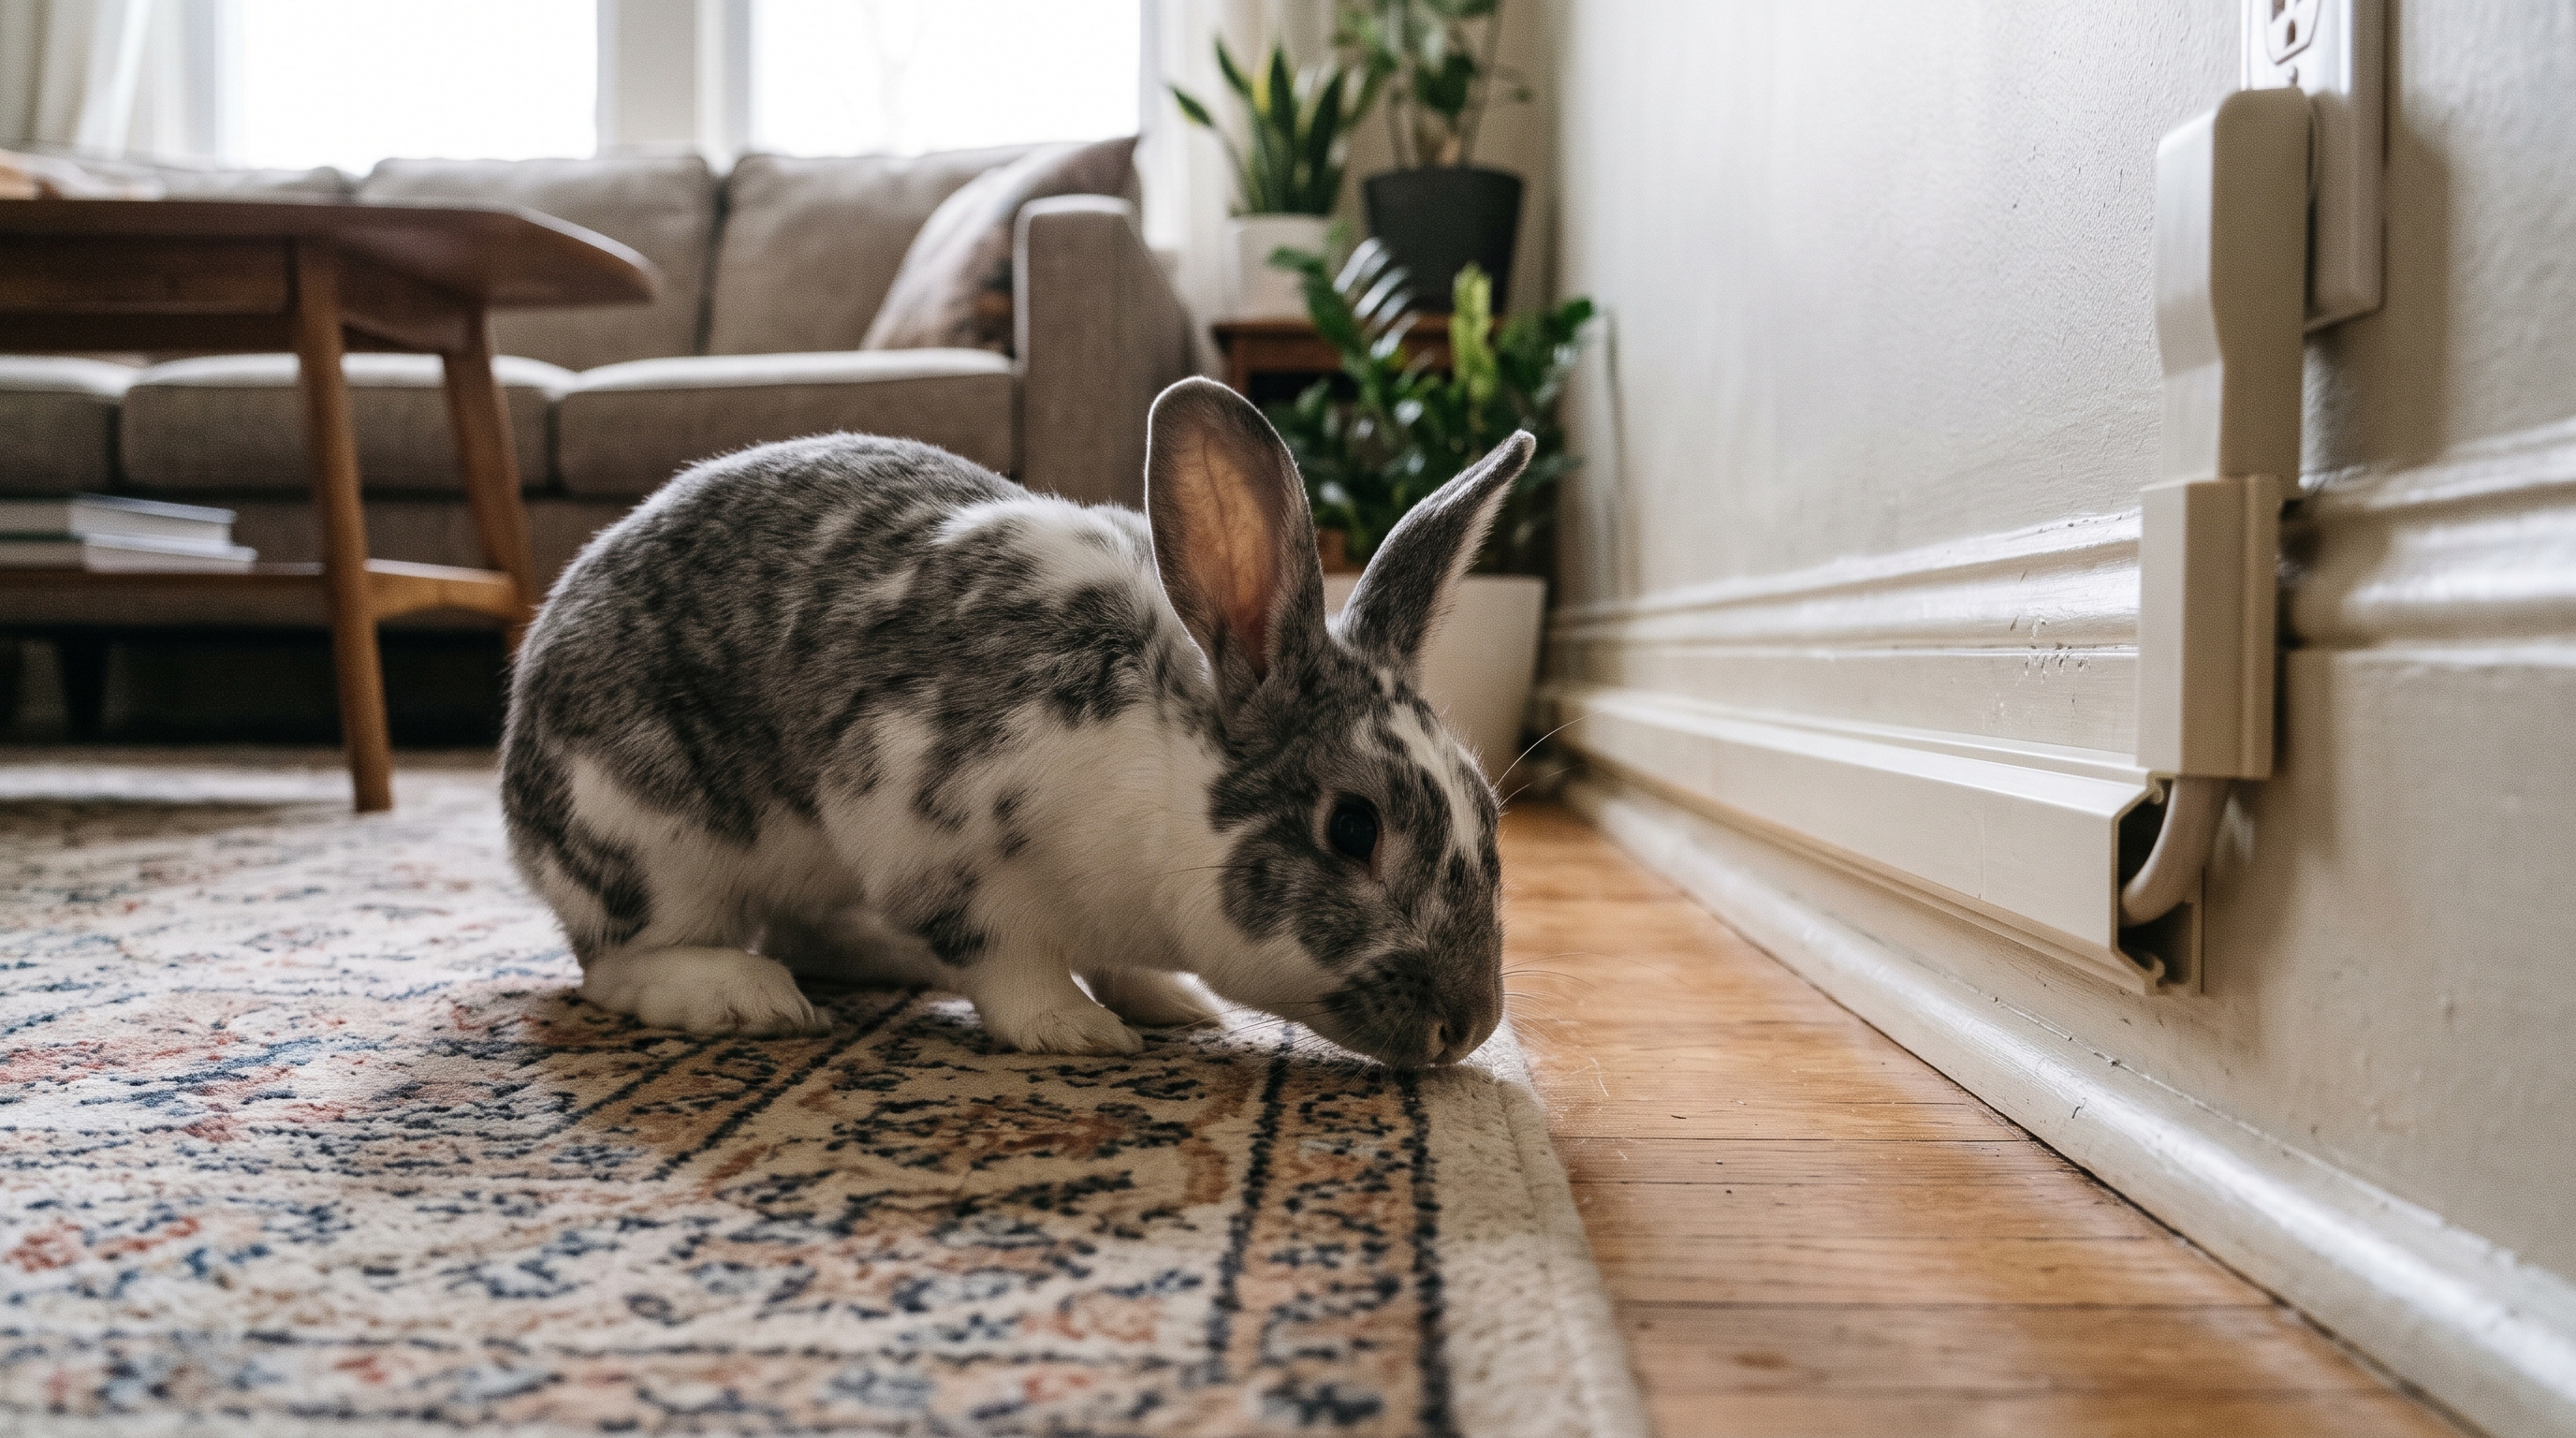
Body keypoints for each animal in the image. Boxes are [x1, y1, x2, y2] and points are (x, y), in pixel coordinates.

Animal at [499, 377, 1533, 1067]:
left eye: (1489, 817)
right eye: (1353, 828)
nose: (1471, 1026)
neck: (1156, 775)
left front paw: (1171, 1001)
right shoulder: (939, 846)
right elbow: (1009, 968)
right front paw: (1076, 1028)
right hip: (656, 846)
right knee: (616, 964)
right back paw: (746, 998)